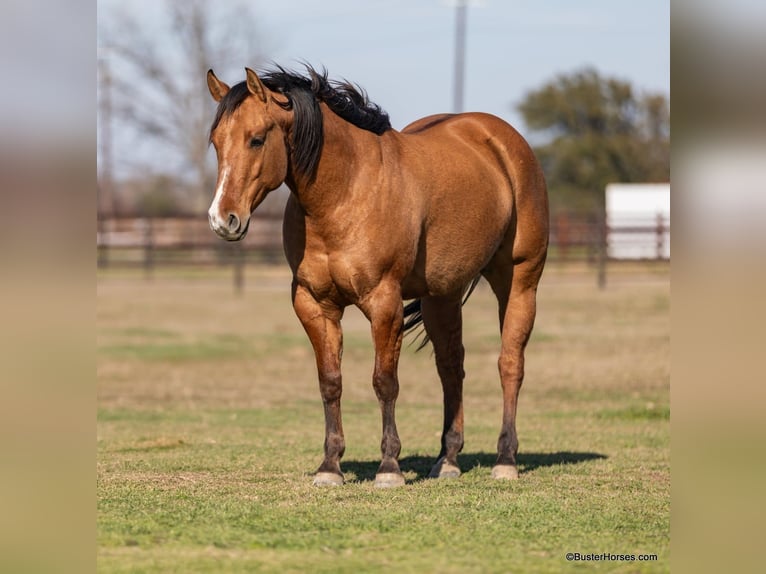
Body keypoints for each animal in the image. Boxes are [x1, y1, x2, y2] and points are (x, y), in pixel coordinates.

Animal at [206, 65, 549, 487]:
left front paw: (389, 467)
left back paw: (505, 459)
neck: (345, 192)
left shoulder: (384, 302)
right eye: (216, 142)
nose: (222, 219)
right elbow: (330, 381)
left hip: (519, 282)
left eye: (256, 139)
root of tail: (502, 141)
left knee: (510, 364)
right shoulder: (314, 305)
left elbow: (384, 381)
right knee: (451, 367)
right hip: (442, 296)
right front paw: (330, 466)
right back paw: (448, 459)